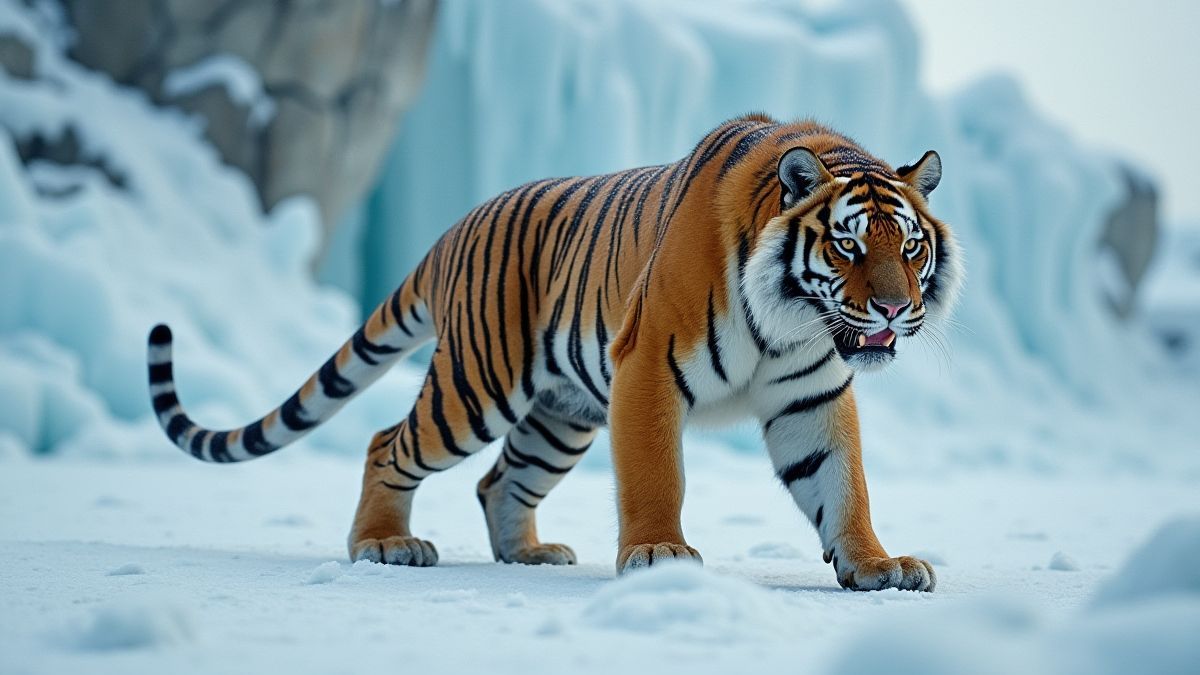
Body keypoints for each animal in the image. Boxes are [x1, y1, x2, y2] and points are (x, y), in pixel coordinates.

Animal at [147, 113, 962, 591]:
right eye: (849, 245)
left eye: (909, 247)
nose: (893, 308)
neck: (791, 320)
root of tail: (454, 230)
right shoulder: (649, 366)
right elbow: (658, 476)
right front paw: (661, 556)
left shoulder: (810, 395)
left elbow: (842, 484)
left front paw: (877, 564)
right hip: (475, 387)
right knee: (388, 443)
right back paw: (385, 544)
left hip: (560, 413)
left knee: (498, 480)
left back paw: (529, 555)